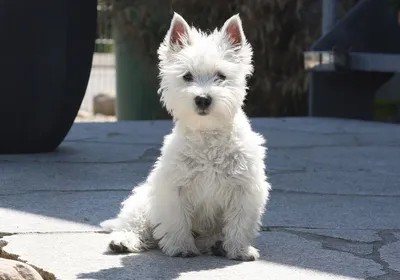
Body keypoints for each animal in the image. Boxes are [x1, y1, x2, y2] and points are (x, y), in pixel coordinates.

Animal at [101, 12, 272, 262]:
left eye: (221, 76)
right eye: (187, 76)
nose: (202, 99)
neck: (207, 134)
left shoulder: (244, 188)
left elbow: (239, 222)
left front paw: (239, 249)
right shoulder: (174, 187)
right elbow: (177, 219)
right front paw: (181, 246)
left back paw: (216, 244)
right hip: (143, 201)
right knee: (135, 224)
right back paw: (122, 241)